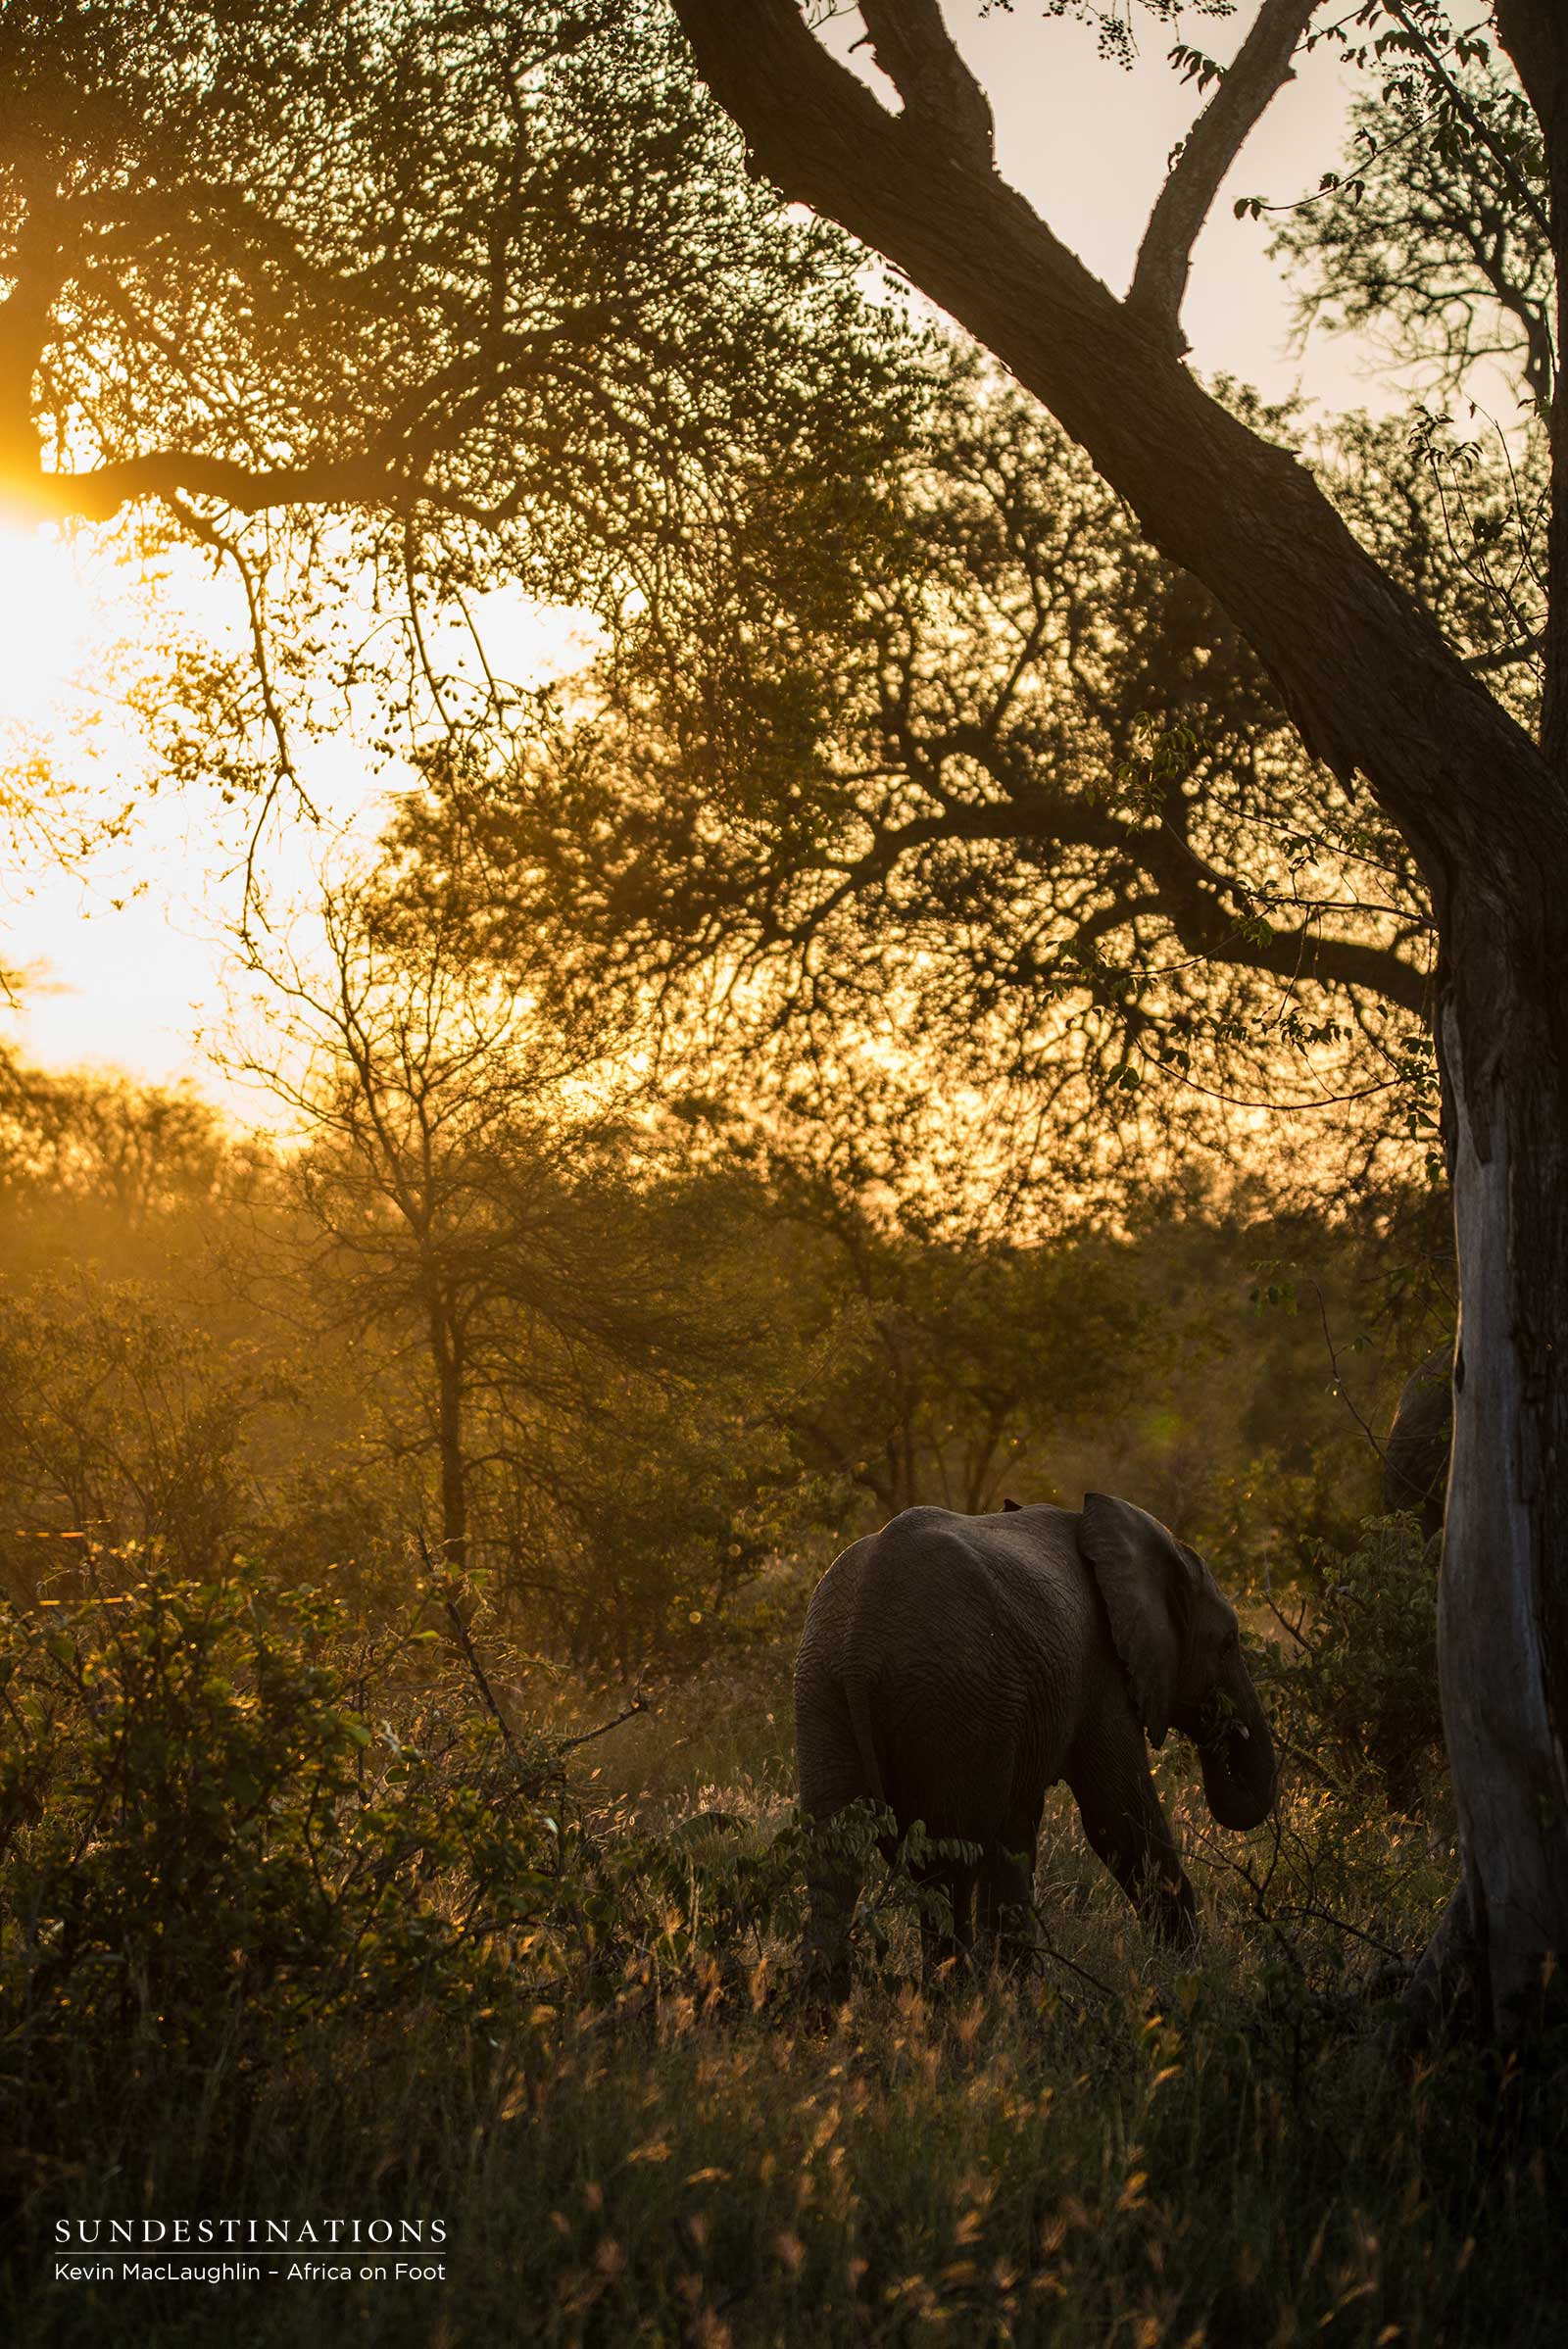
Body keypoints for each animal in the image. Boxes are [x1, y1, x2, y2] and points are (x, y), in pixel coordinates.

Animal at [794, 1495, 1277, 1994]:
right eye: (1228, 1641)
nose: (1221, 1739)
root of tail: (859, 1647)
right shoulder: (1101, 1675)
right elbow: (1117, 1822)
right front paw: (1190, 1975)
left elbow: (1016, 1835)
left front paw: (1016, 1988)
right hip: (953, 1696)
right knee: (946, 1866)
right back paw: (955, 1999)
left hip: (823, 1691)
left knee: (834, 1861)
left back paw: (827, 2004)